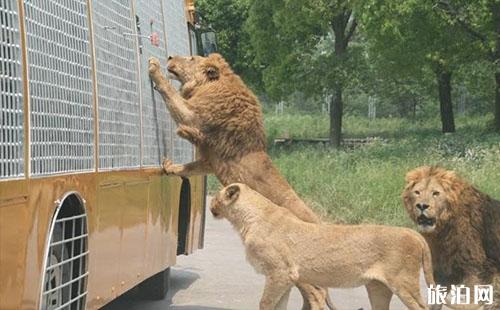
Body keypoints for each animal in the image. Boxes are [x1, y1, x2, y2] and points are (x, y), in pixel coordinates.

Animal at [148, 54, 336, 308]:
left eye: (191, 58)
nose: (169, 57)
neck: (214, 86)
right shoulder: (210, 159)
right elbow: (189, 167)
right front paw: (169, 166)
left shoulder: (196, 117)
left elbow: (172, 96)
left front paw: (154, 67)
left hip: (293, 265)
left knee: (316, 294)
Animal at [213, 183, 436, 308]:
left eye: (215, 197)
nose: (211, 206)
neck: (247, 219)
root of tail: (413, 233)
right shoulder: (284, 278)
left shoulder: (280, 273)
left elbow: (266, 303)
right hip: (378, 288)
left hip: (403, 283)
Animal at [402, 166, 500, 308]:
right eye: (417, 192)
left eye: (435, 193)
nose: (422, 206)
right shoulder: (442, 272)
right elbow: (436, 301)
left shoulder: (475, 269)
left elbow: (471, 302)